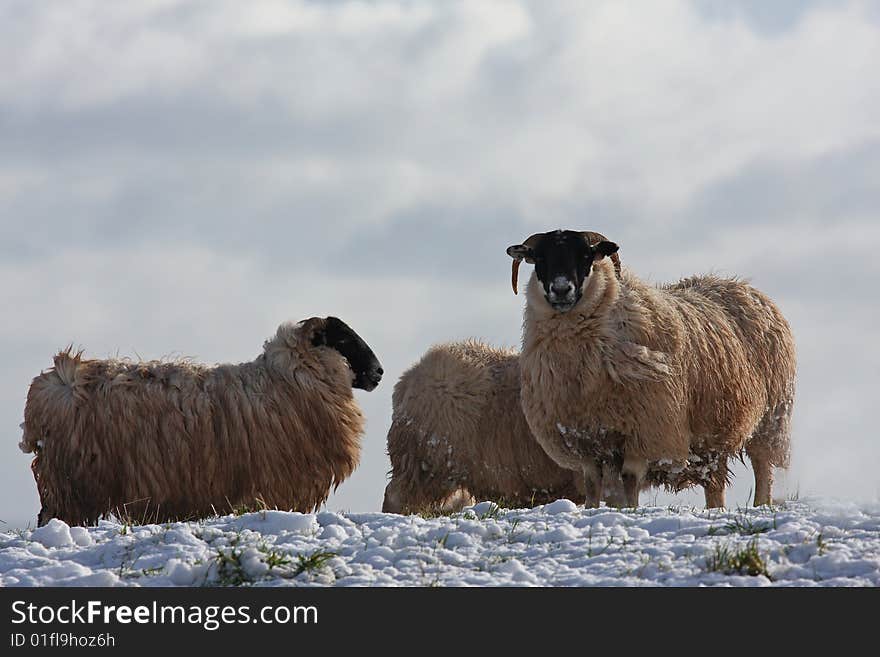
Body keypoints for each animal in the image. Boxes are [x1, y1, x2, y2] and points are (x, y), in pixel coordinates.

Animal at [18, 316, 384, 524]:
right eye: (343, 338)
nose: (379, 372)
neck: (290, 378)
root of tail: (55, 382)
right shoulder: (274, 484)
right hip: (73, 478)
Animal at [506, 231, 796, 508]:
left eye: (586, 255)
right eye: (539, 258)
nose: (561, 289)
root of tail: (741, 285)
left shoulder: (644, 432)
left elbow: (630, 479)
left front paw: (631, 510)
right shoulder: (586, 440)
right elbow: (593, 483)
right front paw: (593, 509)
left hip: (771, 419)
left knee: (763, 469)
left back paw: (760, 505)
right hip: (712, 438)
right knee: (715, 484)